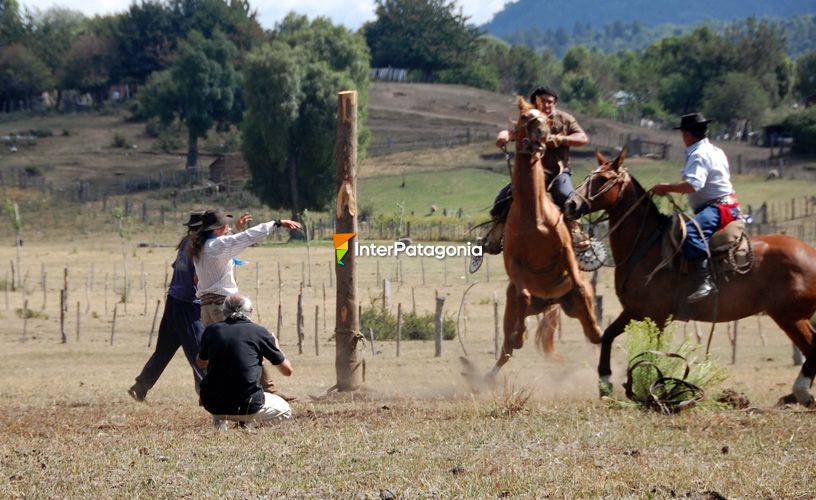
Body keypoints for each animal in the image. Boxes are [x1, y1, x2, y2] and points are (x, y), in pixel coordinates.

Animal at [488, 97, 604, 378]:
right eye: (523, 118)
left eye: (546, 118)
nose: (542, 134)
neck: (536, 217)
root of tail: (551, 300)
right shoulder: (514, 264)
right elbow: (523, 294)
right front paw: (520, 336)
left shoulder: (566, 252)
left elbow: (580, 286)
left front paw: (597, 329)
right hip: (511, 313)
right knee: (506, 348)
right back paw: (486, 375)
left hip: (571, 305)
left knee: (587, 324)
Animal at [564, 149, 816, 406]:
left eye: (603, 179)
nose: (570, 204)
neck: (646, 244)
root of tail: (811, 252)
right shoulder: (634, 310)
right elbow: (607, 336)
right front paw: (605, 383)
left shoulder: (657, 316)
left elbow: (655, 351)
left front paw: (656, 389)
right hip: (792, 316)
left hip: (789, 315)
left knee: (812, 347)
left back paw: (800, 391)